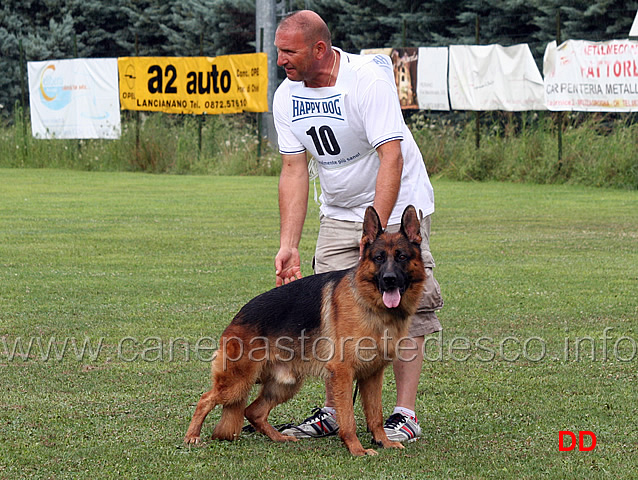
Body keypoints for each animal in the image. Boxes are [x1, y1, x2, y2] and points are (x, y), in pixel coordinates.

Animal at [185, 204, 424, 456]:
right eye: (378, 258)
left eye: (402, 256)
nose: (389, 280)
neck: (370, 305)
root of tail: (238, 316)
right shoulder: (343, 373)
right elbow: (348, 418)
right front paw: (356, 449)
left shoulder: (372, 375)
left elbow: (375, 415)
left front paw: (383, 441)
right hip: (237, 382)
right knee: (205, 399)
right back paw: (192, 436)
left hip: (284, 384)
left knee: (253, 411)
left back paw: (280, 437)